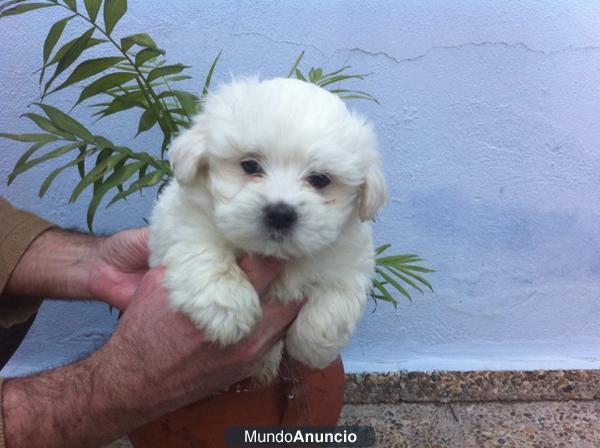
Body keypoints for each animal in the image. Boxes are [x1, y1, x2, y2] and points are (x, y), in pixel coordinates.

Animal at [148, 78, 386, 384]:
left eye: (320, 179)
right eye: (250, 165)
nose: (280, 213)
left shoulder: (349, 259)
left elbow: (335, 301)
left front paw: (311, 348)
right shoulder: (185, 224)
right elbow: (203, 252)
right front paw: (228, 306)